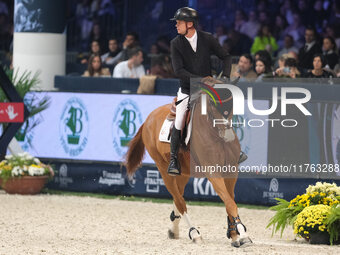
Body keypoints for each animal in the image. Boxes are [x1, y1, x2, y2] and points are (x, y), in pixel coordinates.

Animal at [125, 79, 252, 247]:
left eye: (233, 103)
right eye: (212, 105)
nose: (228, 136)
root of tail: (148, 119)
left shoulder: (231, 171)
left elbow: (229, 201)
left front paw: (234, 234)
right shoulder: (213, 171)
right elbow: (230, 203)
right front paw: (243, 234)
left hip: (184, 173)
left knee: (178, 196)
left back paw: (174, 229)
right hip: (163, 169)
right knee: (180, 201)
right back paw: (194, 233)